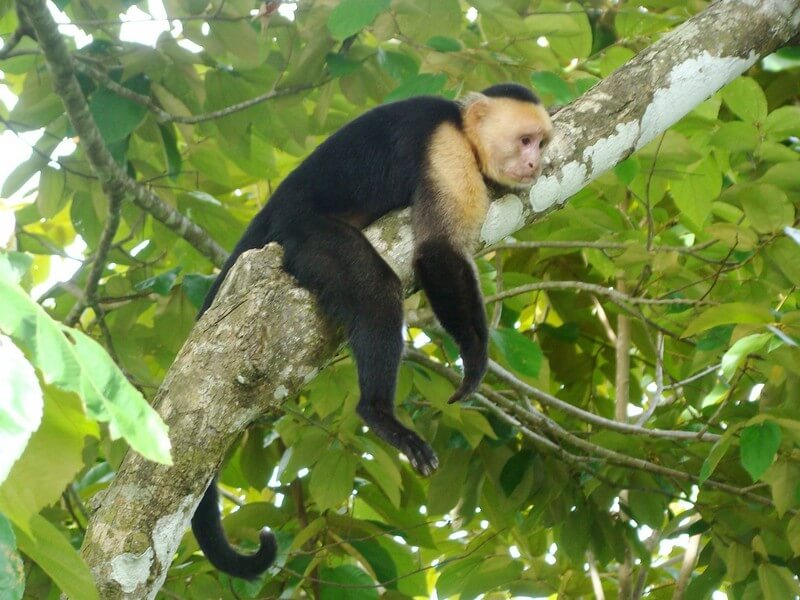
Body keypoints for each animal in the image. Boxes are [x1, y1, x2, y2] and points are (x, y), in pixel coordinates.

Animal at [191, 82, 552, 580]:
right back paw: (378, 412)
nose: (535, 164)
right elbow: (437, 252)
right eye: (525, 141)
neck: (462, 129)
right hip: (303, 230)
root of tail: (274, 207)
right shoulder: (445, 148)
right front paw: (475, 359)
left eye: (541, 144)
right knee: (376, 290)